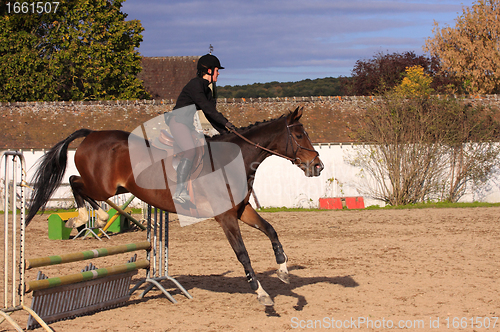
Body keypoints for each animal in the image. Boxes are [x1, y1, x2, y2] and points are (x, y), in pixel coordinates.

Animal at [25, 107, 324, 306]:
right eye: (299, 135)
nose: (318, 166)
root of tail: (92, 134)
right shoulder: (226, 217)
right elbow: (243, 253)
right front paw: (261, 292)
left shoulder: (241, 210)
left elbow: (271, 230)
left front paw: (283, 271)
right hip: (102, 186)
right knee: (75, 182)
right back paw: (89, 217)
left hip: (118, 187)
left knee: (79, 185)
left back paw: (92, 217)